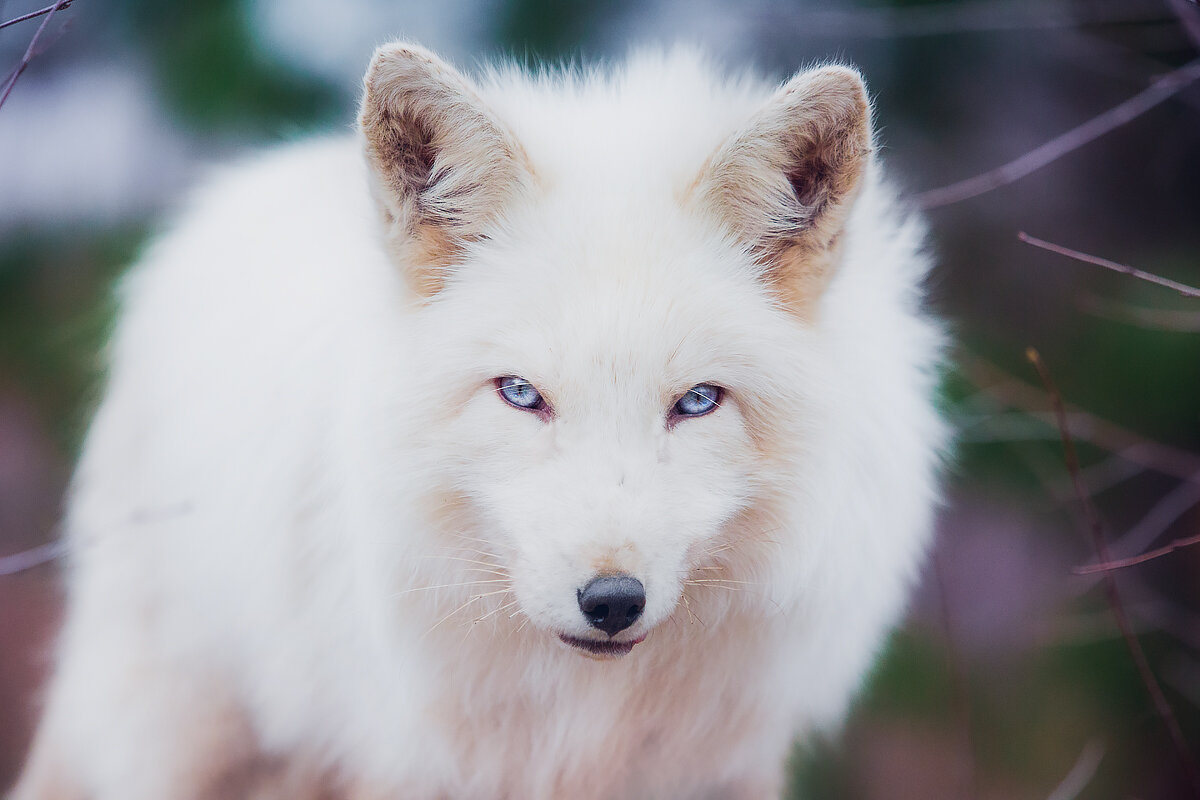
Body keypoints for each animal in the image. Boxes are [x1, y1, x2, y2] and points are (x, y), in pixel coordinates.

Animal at [9, 42, 945, 800]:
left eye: (697, 402)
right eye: (522, 394)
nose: (612, 600)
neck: (584, 726)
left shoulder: (725, 766)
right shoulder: (418, 762)